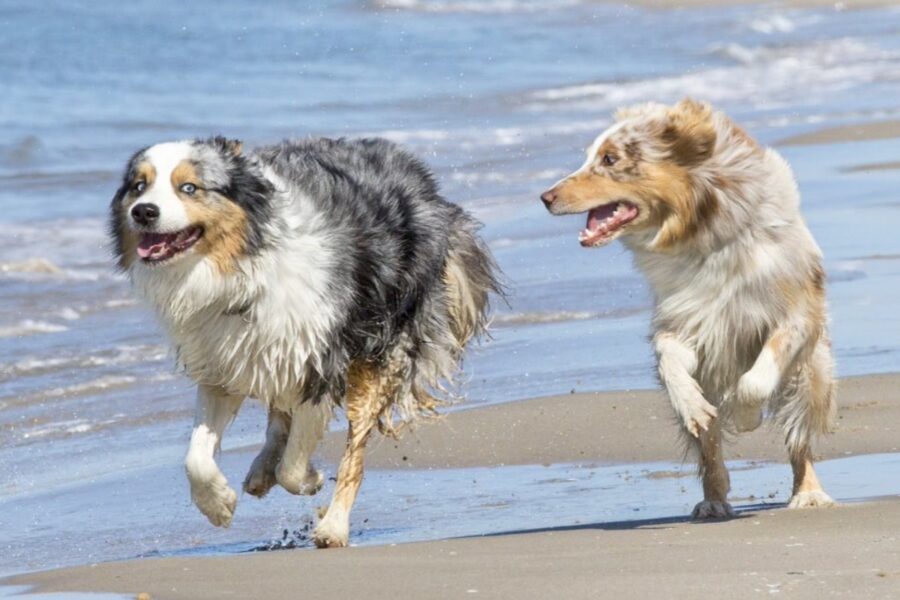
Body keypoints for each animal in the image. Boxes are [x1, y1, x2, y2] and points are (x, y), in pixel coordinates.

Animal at [110, 137, 502, 548]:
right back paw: (261, 470)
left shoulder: (320, 363)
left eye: (189, 187)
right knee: (278, 414)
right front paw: (218, 504)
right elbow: (196, 458)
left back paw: (333, 526)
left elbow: (294, 468)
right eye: (138, 186)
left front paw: (311, 479)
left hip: (382, 349)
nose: (143, 212)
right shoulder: (220, 363)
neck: (240, 267)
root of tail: (425, 183)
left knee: (353, 453)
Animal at [536, 99, 832, 520]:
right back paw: (713, 500)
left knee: (799, 436)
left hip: (811, 372)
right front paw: (692, 404)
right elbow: (669, 360)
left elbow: (755, 382)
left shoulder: (796, 316)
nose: (545, 197)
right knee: (709, 449)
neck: (701, 235)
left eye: (610, 159)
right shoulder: (687, 321)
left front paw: (746, 417)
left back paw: (808, 492)